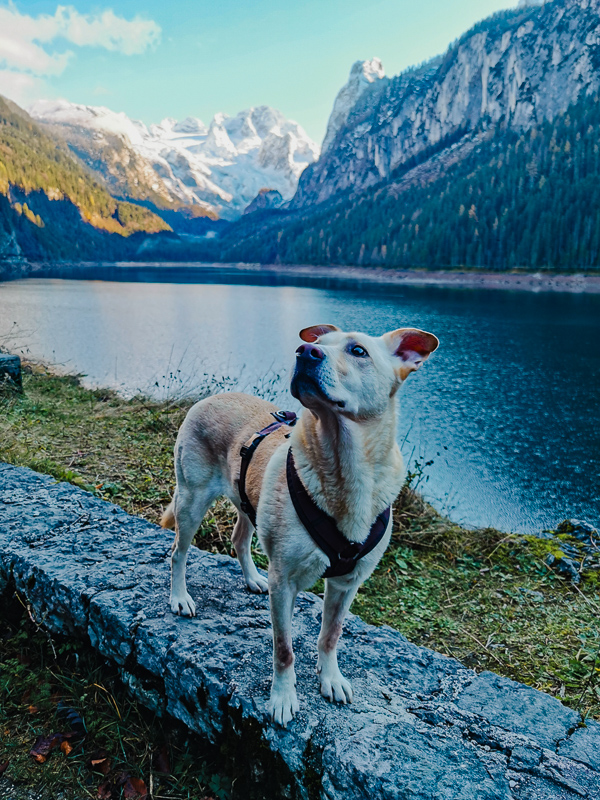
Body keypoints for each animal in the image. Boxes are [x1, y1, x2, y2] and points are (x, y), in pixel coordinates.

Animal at [162, 324, 438, 724]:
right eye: (317, 343)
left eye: (358, 350)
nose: (305, 352)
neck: (342, 467)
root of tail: (210, 396)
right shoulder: (284, 584)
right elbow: (284, 648)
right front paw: (282, 697)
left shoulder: (347, 584)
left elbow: (331, 635)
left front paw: (331, 678)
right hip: (191, 500)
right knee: (178, 553)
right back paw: (180, 597)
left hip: (248, 502)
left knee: (239, 538)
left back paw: (252, 578)